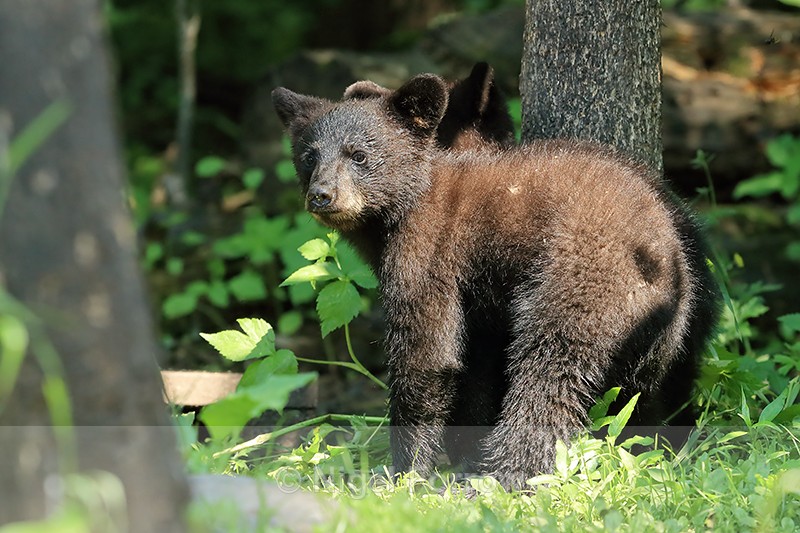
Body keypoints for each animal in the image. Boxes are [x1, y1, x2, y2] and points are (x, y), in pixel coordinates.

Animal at [272, 73, 719, 489]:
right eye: (309, 156)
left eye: (360, 155)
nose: (322, 195)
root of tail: (662, 259)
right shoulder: (481, 300)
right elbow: (473, 368)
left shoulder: (430, 255)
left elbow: (427, 354)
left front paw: (402, 472)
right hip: (669, 334)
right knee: (648, 394)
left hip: (579, 284)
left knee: (546, 379)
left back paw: (503, 477)